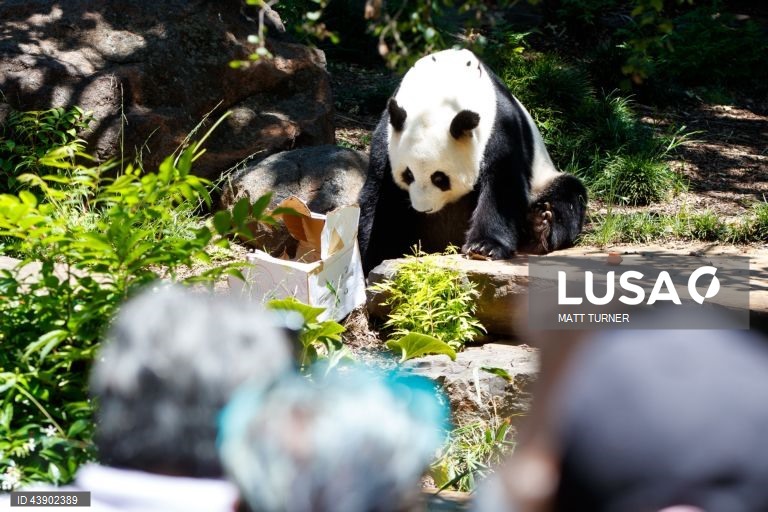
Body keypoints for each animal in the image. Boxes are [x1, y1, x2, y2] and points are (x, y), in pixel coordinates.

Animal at [358, 48, 587, 273]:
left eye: (440, 178)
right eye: (408, 175)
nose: (423, 209)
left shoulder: (500, 128)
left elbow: (502, 187)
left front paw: (484, 247)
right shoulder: (388, 138)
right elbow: (378, 197)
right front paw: (372, 255)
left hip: (544, 177)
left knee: (568, 194)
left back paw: (541, 225)